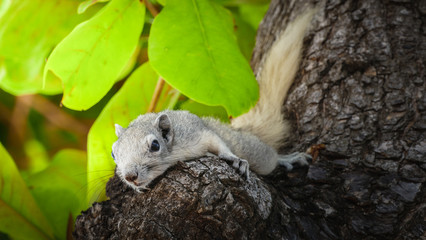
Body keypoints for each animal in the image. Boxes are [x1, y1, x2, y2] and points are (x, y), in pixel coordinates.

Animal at [111, 8, 318, 191]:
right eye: (113, 153)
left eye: (155, 145)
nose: (130, 176)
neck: (174, 149)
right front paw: (137, 188)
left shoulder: (197, 133)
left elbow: (217, 142)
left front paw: (233, 158)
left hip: (253, 151)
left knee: (268, 158)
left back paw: (285, 159)